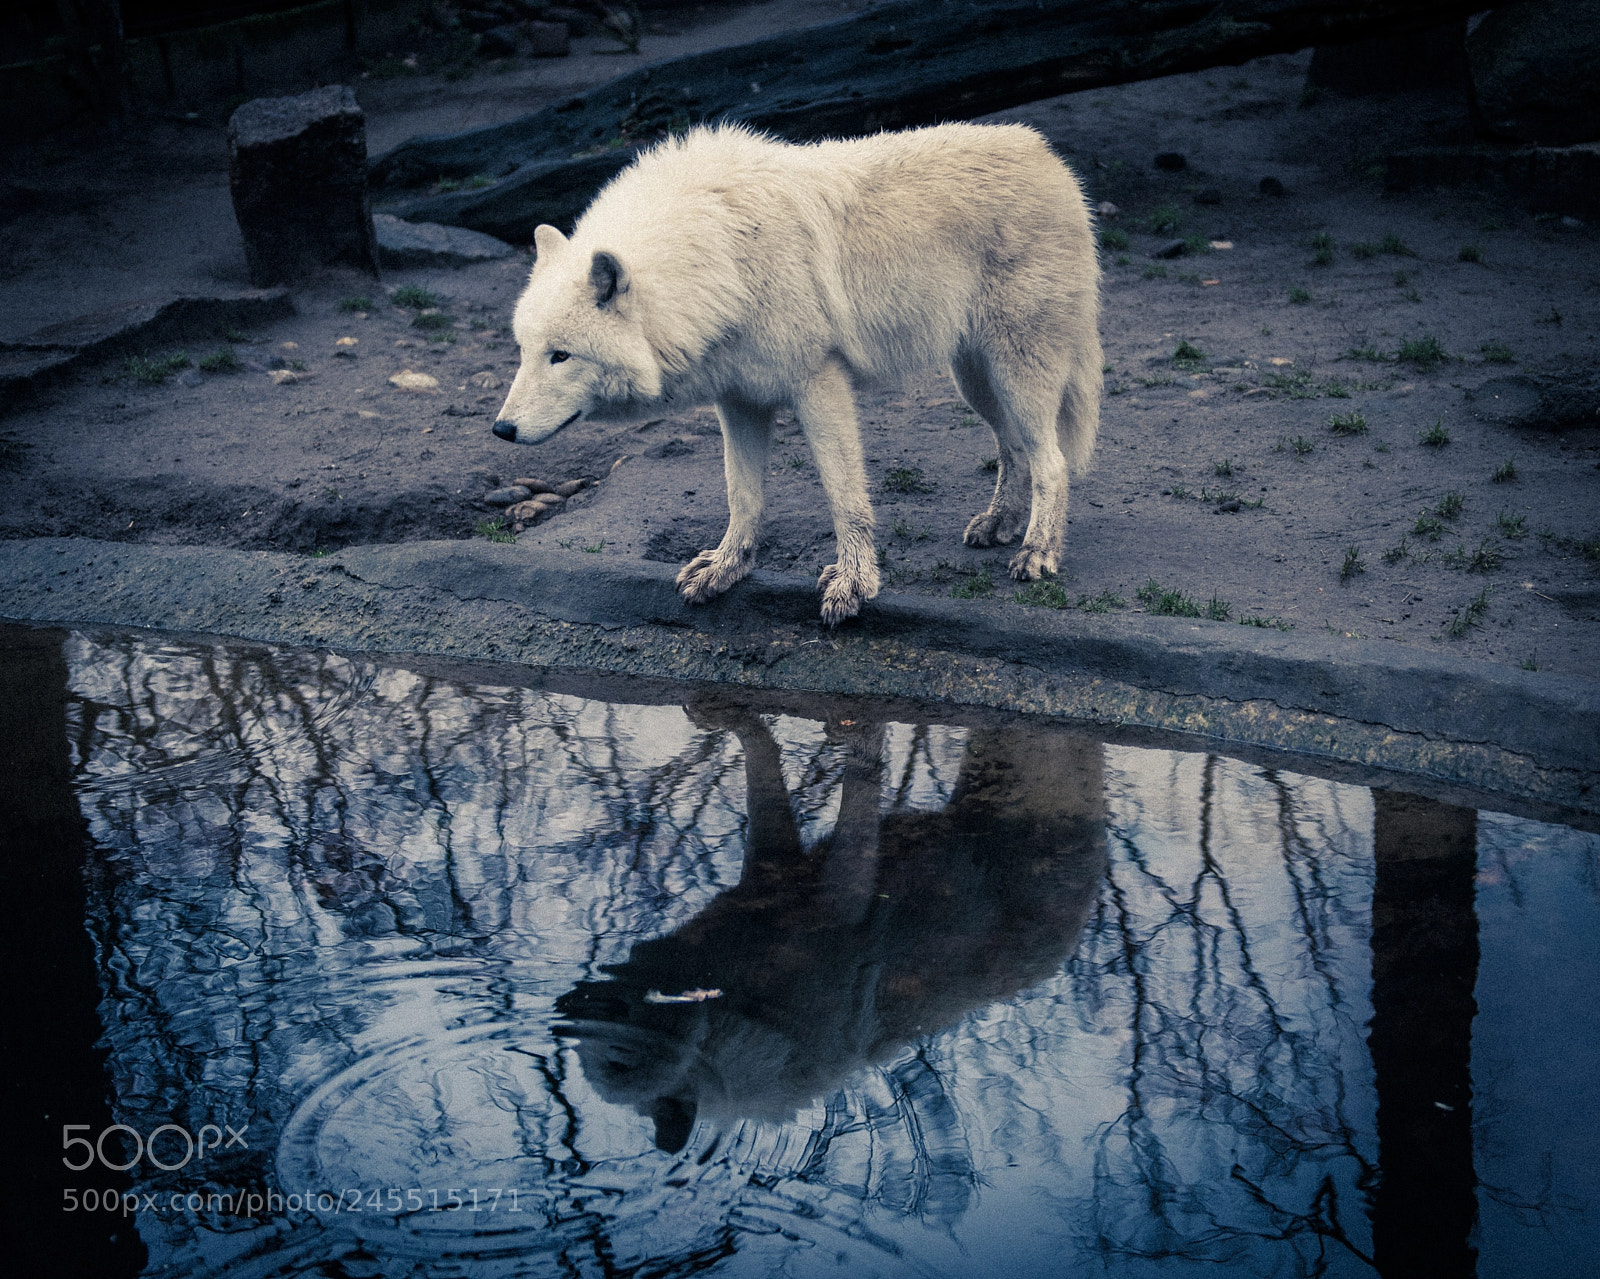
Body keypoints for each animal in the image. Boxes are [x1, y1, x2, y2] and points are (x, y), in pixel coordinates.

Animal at [493, 122, 1102, 623]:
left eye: (561, 355)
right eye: (525, 350)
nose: (501, 429)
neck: (720, 258)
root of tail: (1049, 156)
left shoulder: (818, 383)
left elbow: (844, 495)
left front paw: (853, 584)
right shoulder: (738, 400)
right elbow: (742, 495)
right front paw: (726, 567)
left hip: (1016, 372)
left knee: (1052, 461)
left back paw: (1037, 551)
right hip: (974, 380)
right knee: (1015, 449)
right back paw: (999, 524)